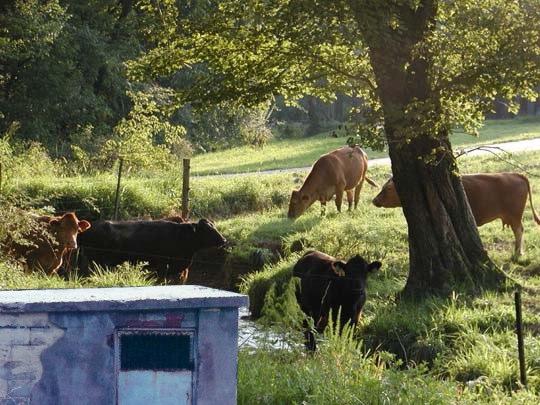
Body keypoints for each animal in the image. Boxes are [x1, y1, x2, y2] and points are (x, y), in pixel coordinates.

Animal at [372, 171, 540, 256]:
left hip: (515, 216)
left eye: (387, 189)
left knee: (519, 231)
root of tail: (514, 174)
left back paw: (518, 253)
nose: (374, 200)